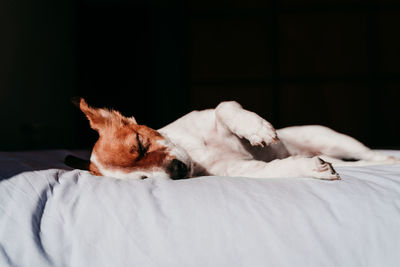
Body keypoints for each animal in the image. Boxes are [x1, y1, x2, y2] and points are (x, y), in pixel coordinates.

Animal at [66, 98, 400, 182]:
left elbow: (225, 108)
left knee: (374, 156)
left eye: (140, 143)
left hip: (331, 137)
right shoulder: (242, 170)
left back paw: (391, 158)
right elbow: (279, 168)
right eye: (144, 179)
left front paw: (257, 130)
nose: (176, 171)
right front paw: (310, 168)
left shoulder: (210, 113)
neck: (197, 154)